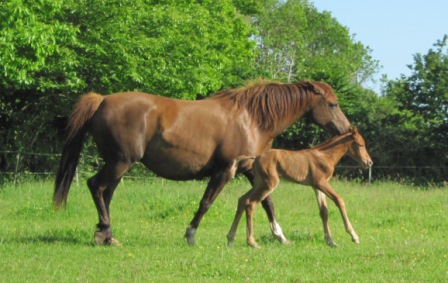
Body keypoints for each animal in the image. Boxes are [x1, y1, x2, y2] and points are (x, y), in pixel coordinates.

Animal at [228, 128, 372, 248]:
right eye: (360, 144)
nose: (369, 162)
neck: (325, 155)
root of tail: (256, 157)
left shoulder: (317, 187)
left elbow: (324, 212)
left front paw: (331, 242)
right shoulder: (321, 182)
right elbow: (339, 200)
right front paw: (354, 236)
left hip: (259, 183)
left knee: (242, 200)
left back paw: (230, 239)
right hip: (268, 184)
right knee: (250, 203)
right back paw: (252, 242)